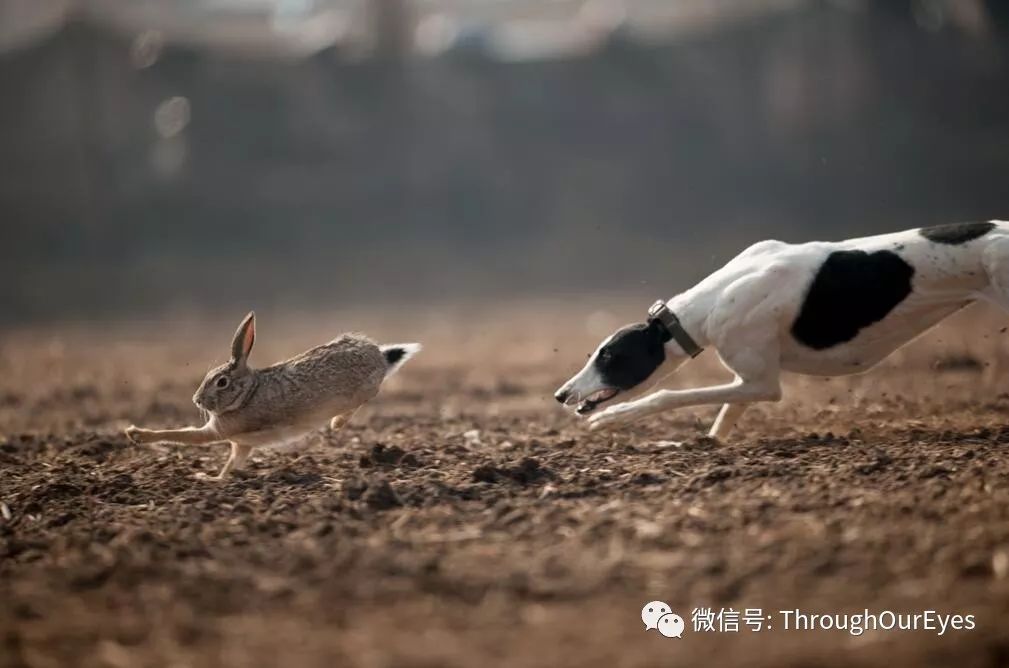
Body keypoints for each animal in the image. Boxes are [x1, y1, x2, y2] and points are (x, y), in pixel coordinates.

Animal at [556, 221, 1004, 437]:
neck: (712, 301)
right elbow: (721, 422)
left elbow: (670, 395)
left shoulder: (763, 385)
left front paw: (613, 419)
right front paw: (699, 444)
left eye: (609, 356)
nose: (561, 394)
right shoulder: (747, 380)